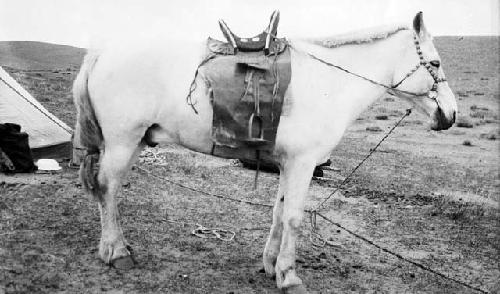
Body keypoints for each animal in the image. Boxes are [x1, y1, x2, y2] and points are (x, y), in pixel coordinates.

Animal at [74, 12, 458, 294]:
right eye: (436, 64)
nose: (451, 114)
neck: (327, 83)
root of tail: (101, 52)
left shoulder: (288, 164)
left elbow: (278, 212)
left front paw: (271, 265)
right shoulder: (303, 164)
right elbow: (294, 218)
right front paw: (289, 276)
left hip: (135, 141)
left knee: (107, 190)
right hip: (123, 141)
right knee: (107, 188)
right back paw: (116, 252)